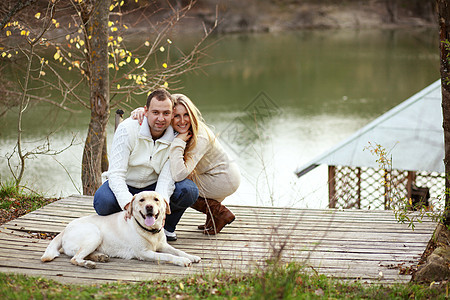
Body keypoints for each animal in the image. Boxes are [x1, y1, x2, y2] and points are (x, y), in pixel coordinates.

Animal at [40, 191, 200, 268]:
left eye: (156, 199)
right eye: (142, 200)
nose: (149, 207)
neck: (150, 231)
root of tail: (65, 228)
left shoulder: (163, 245)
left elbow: (177, 251)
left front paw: (191, 256)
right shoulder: (144, 253)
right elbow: (168, 256)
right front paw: (183, 261)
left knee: (81, 255)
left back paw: (99, 257)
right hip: (94, 234)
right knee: (75, 258)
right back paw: (89, 263)